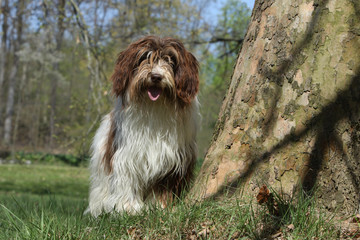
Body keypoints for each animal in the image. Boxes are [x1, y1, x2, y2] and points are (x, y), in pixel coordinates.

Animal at [86, 36, 201, 218]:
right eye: (145, 57)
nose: (156, 76)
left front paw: (159, 207)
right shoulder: (128, 154)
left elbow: (163, 185)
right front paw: (127, 208)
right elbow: (127, 178)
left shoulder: (172, 159)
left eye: (170, 60)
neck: (154, 107)